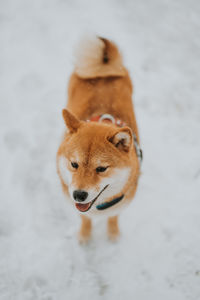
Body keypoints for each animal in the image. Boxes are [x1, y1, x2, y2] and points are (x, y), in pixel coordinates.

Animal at [56, 36, 142, 243]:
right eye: (74, 164)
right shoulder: (79, 208)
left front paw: (113, 235)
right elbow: (85, 220)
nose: (79, 195)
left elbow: (113, 218)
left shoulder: (119, 206)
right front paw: (85, 237)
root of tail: (103, 66)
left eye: (101, 168)